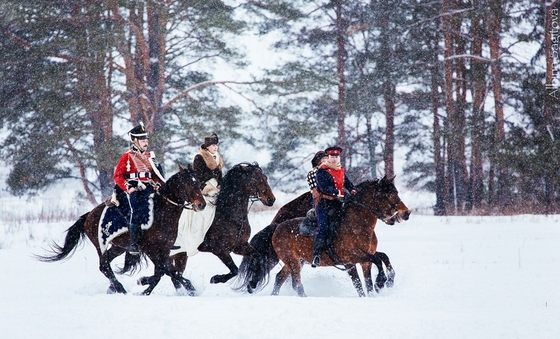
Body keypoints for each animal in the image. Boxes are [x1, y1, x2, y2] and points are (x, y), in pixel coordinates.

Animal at [35, 166, 206, 296]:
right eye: (188, 184)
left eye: (198, 183)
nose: (202, 205)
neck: (161, 212)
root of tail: (89, 215)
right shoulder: (149, 249)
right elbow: (163, 271)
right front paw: (144, 284)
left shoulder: (164, 249)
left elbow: (164, 271)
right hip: (100, 245)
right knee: (104, 266)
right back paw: (120, 288)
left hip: (118, 247)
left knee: (107, 265)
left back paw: (114, 288)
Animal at [161, 162, 276, 294]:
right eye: (254, 179)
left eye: (265, 178)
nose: (271, 199)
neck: (231, 216)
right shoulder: (220, 250)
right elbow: (234, 270)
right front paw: (215, 279)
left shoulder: (240, 246)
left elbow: (258, 257)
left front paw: (252, 284)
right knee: (173, 273)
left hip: (180, 253)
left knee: (176, 274)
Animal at [234, 175, 410, 298]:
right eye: (388, 195)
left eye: (396, 192)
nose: (406, 213)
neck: (358, 226)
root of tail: (277, 227)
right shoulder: (352, 258)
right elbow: (371, 268)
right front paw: (382, 282)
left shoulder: (364, 259)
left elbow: (379, 262)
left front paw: (387, 282)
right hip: (293, 262)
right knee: (296, 284)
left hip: (294, 262)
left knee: (279, 278)